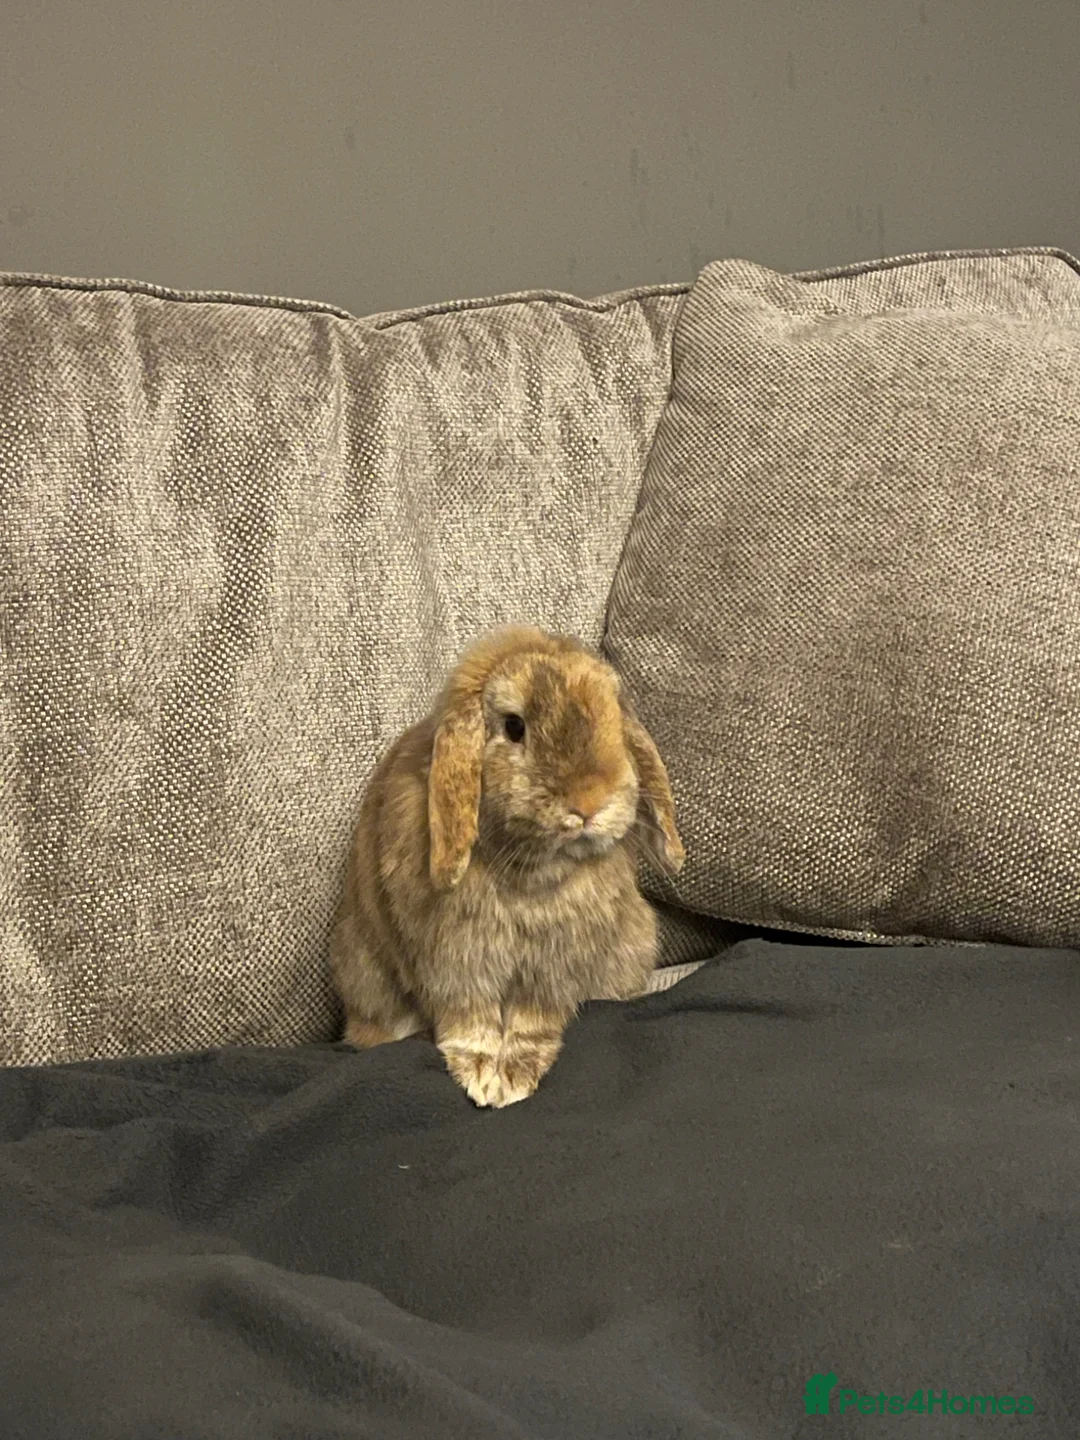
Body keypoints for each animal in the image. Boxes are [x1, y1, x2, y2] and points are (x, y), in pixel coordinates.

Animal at [329, 625, 684, 1108]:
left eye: (613, 717)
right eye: (515, 726)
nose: (590, 802)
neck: (531, 871)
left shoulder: (552, 970)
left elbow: (533, 1022)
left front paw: (515, 1074)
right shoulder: (455, 961)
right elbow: (469, 1019)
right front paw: (480, 1075)